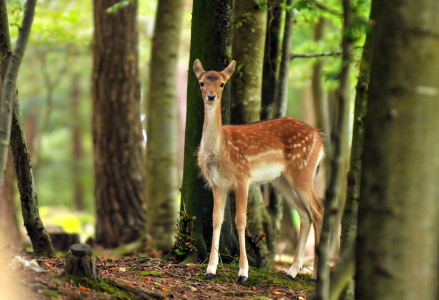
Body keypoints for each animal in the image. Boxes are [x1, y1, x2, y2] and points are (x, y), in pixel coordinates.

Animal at [194, 59, 324, 284]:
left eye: (222, 84)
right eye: (202, 82)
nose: (211, 96)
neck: (222, 151)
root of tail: (320, 138)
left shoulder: (242, 177)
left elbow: (240, 221)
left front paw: (243, 273)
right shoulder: (217, 183)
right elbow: (216, 219)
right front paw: (210, 270)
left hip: (303, 171)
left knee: (318, 210)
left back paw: (315, 276)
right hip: (281, 180)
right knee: (304, 213)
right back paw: (292, 271)